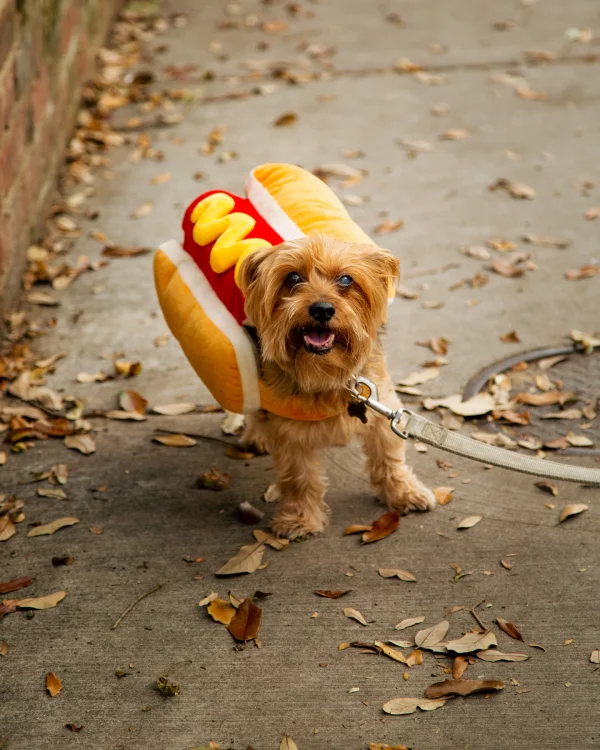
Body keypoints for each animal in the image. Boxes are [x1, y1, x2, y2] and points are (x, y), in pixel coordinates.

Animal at [239, 235, 436, 540]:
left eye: (345, 279)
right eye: (292, 277)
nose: (322, 309)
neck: (327, 375)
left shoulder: (382, 409)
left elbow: (389, 458)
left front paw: (403, 493)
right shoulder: (288, 435)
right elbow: (299, 478)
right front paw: (300, 519)